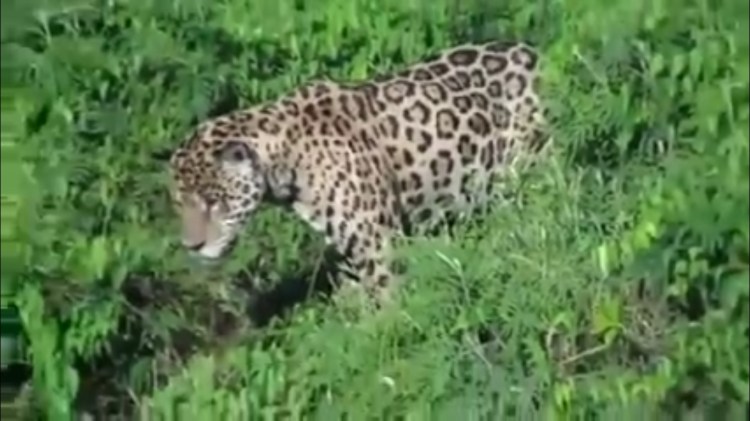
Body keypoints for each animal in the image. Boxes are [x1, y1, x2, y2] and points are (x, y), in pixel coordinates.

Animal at [168, 40, 551, 305]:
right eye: (180, 205)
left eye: (213, 202)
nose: (192, 246)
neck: (285, 159)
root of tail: (533, 53)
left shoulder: (376, 241)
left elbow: (386, 301)